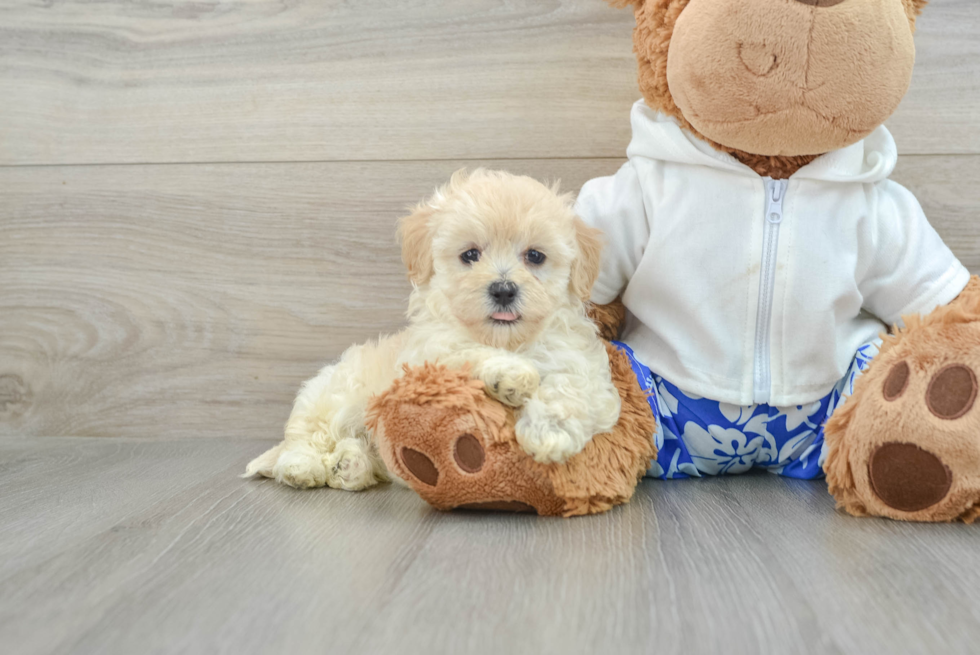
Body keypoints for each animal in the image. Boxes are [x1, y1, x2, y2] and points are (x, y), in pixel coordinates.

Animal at [243, 172, 620, 490]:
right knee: (305, 438)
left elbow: (570, 388)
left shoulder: (581, 366)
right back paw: (302, 467)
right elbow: (464, 353)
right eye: (470, 254)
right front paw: (511, 375)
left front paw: (549, 434)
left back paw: (349, 466)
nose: (503, 290)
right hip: (332, 397)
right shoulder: (425, 360)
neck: (508, 341)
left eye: (535, 256)